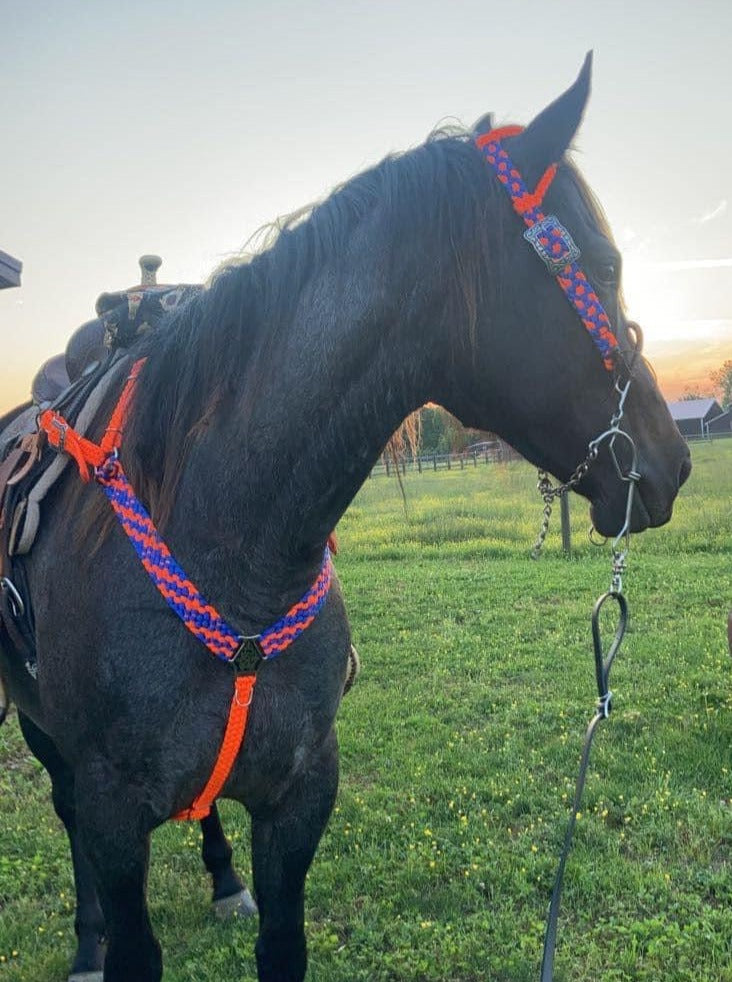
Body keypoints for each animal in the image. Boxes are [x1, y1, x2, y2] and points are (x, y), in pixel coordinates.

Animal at [0, 55, 688, 982]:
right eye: (608, 265)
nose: (674, 462)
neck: (231, 542)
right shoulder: (114, 813)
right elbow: (113, 888)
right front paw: (102, 940)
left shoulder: (298, 796)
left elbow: (281, 943)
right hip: (46, 737)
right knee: (65, 810)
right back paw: (86, 941)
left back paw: (223, 882)